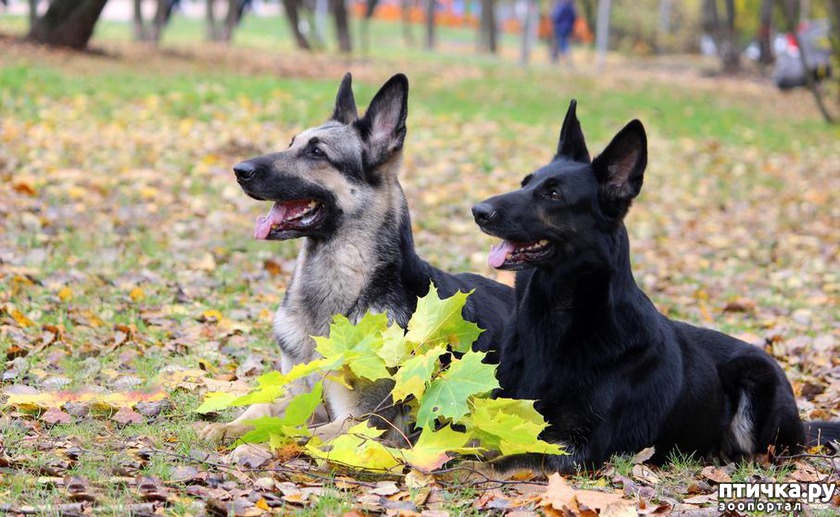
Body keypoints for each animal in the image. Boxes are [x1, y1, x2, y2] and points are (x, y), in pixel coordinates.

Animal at [205, 73, 520, 444]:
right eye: (291, 143)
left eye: (316, 152)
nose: (239, 170)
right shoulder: (296, 396)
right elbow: (260, 409)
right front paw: (225, 427)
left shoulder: (360, 422)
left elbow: (297, 435)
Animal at [472, 101, 840, 472]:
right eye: (525, 183)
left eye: (553, 194)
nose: (478, 210)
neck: (554, 319)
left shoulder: (576, 448)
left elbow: (501, 456)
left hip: (757, 380)